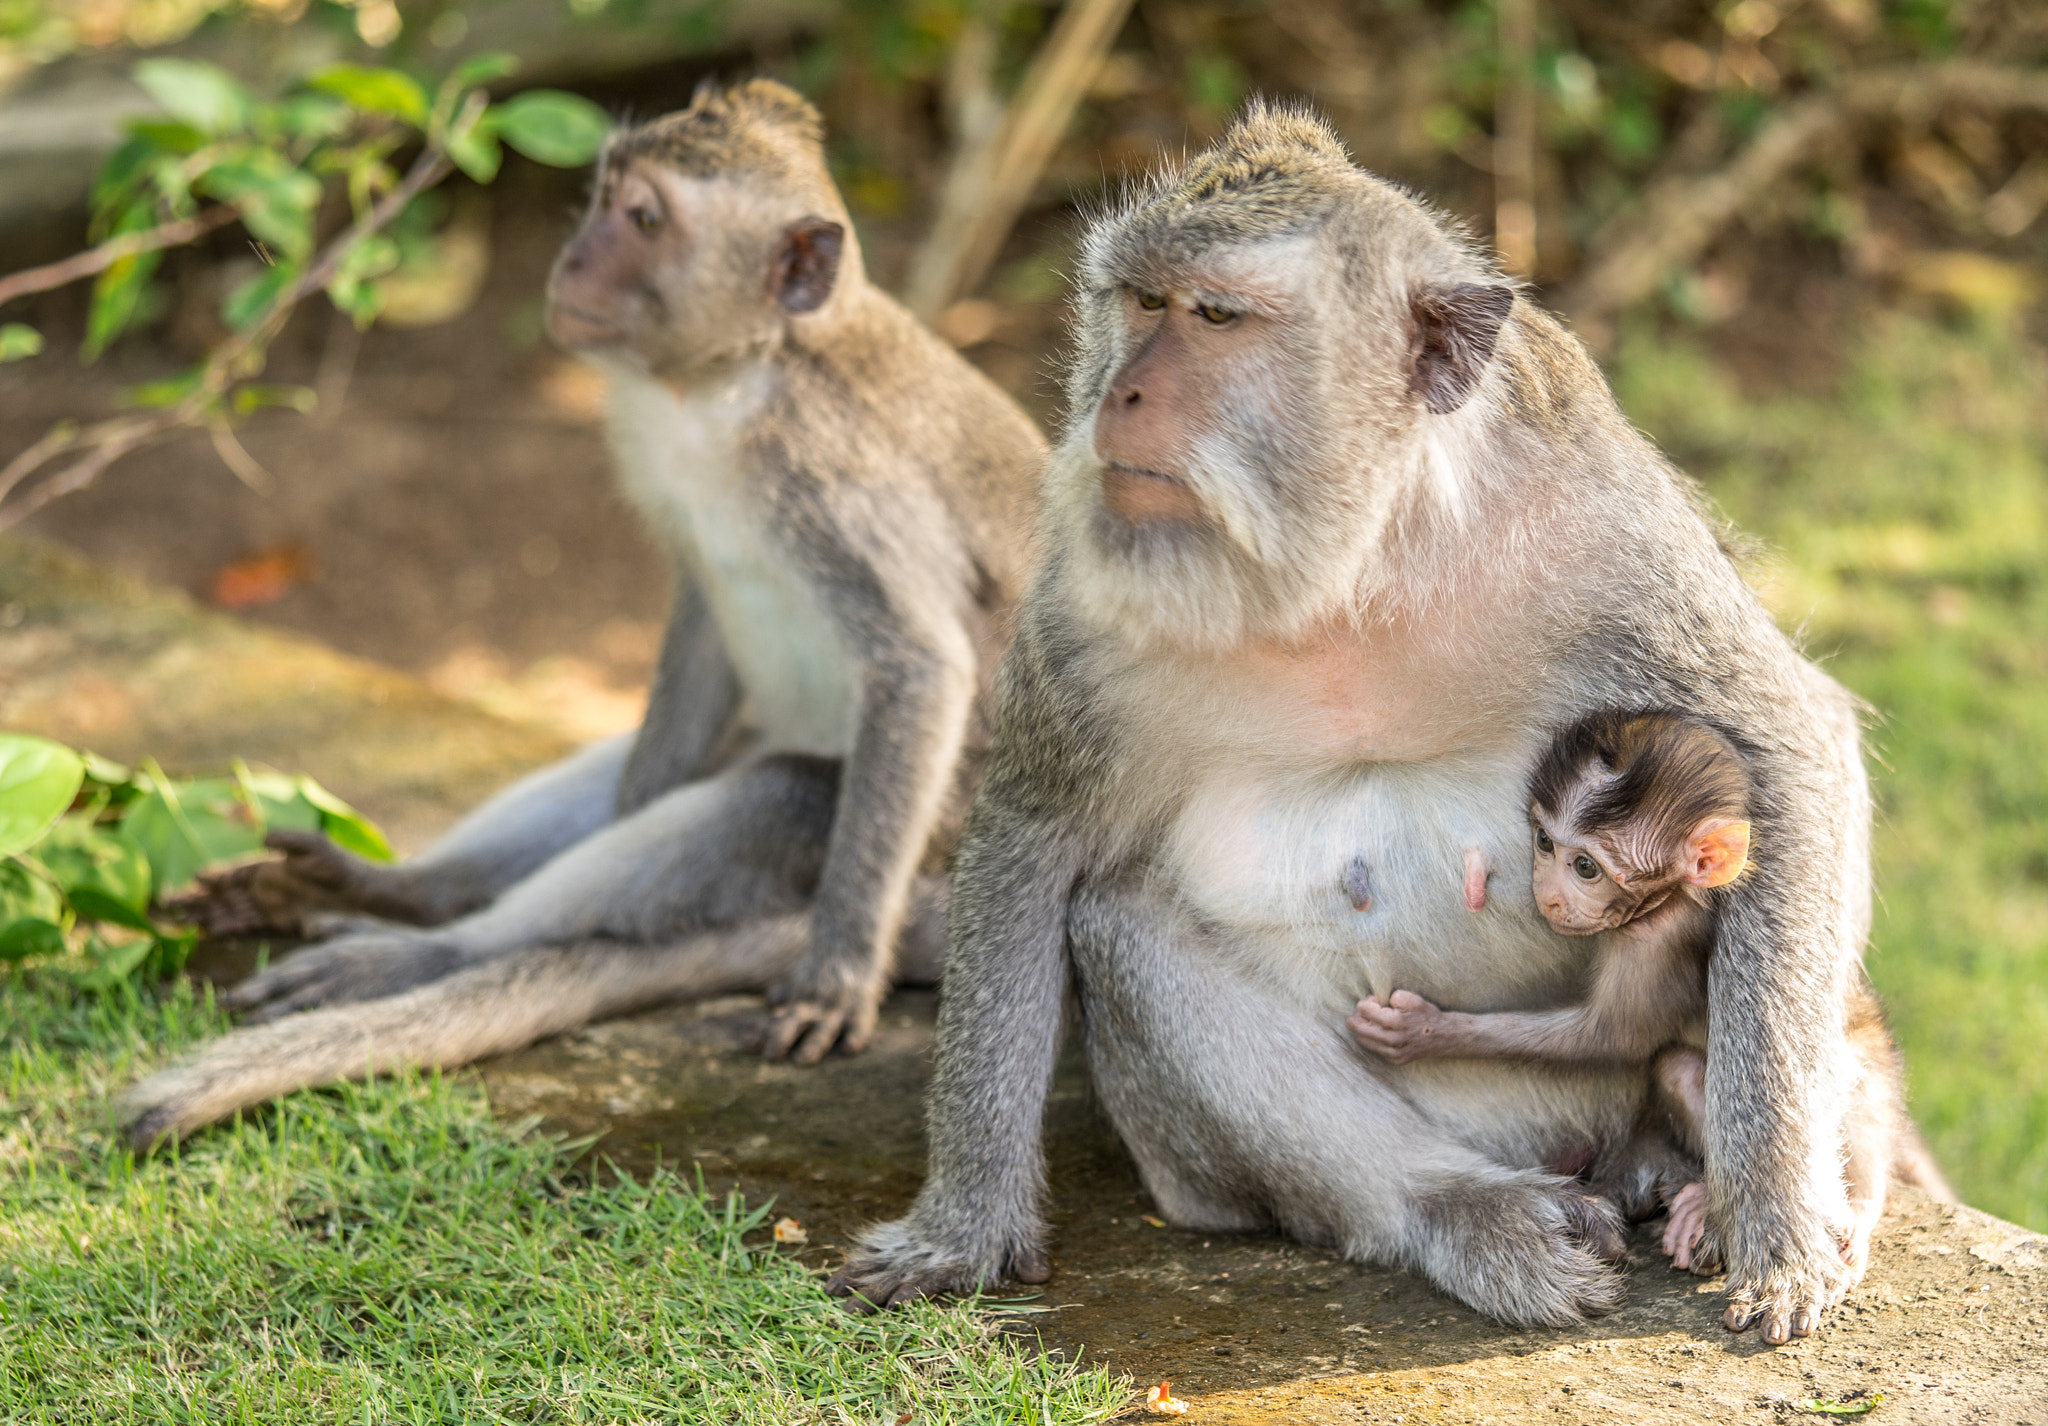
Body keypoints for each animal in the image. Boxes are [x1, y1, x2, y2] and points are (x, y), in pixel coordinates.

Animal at [132, 80, 1040, 1147]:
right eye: (605, 198)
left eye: (644, 221)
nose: (574, 259)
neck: (732, 381)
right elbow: (697, 635)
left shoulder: (832, 472)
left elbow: (919, 666)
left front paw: (838, 973)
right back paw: (402, 893)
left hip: (929, 847)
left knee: (780, 793)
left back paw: (426, 954)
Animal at [831, 106, 1884, 1344]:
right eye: (1137, 302)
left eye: (1214, 317)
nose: (1113, 400)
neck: (1356, 561)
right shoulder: (1090, 601)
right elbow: (1033, 836)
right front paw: (960, 1228)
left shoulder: (1599, 532)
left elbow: (1780, 748)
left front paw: (1775, 1219)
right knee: (1122, 923)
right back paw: (1468, 1213)